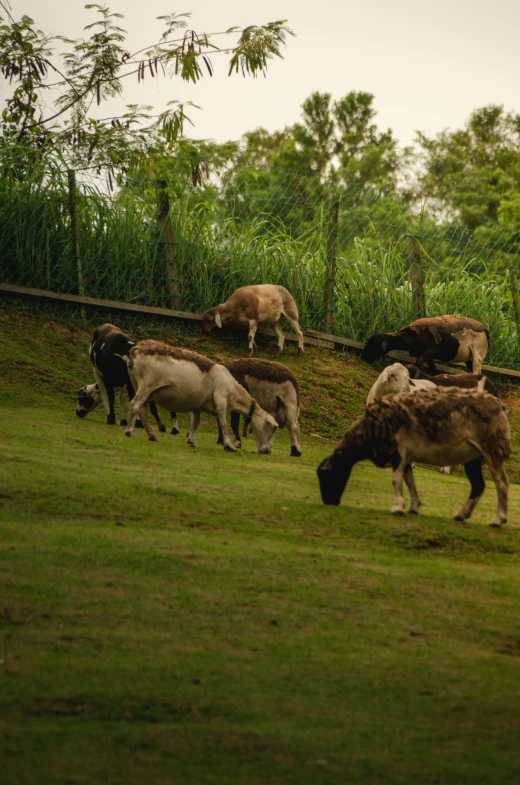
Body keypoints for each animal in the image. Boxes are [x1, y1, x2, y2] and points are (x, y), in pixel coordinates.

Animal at [124, 338, 278, 454]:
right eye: (273, 428)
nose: (268, 451)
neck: (233, 392)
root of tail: (136, 349)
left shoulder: (198, 405)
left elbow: (196, 422)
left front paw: (191, 441)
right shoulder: (221, 400)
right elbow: (223, 424)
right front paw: (229, 446)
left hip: (140, 386)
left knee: (142, 410)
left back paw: (152, 435)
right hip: (147, 385)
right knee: (135, 405)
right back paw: (130, 432)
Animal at [314, 388, 510, 528]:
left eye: (327, 477)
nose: (329, 503)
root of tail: (500, 406)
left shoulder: (398, 451)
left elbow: (396, 480)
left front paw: (397, 507)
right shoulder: (406, 457)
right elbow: (410, 481)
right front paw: (414, 507)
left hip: (492, 448)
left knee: (501, 483)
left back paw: (498, 519)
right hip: (474, 456)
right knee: (478, 485)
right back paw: (461, 515)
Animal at [362, 312, 492, 374]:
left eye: (373, 344)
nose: (363, 358)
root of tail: (485, 330)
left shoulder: (432, 350)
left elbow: (419, 362)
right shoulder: (429, 356)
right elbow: (433, 369)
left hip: (478, 355)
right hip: (470, 359)